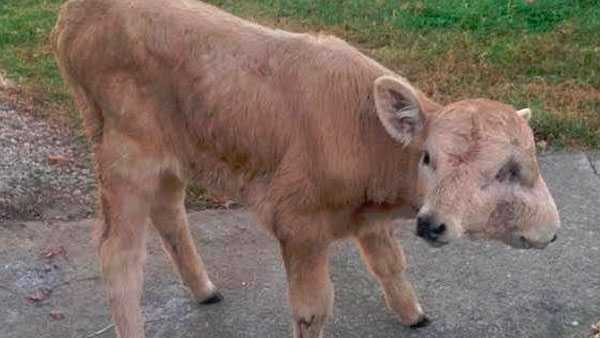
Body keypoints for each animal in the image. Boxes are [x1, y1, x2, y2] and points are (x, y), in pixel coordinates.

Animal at [52, 0, 564, 338]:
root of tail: (77, 12)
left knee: (169, 211)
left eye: (516, 167)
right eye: (428, 158)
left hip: (172, 150)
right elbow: (313, 308)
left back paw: (204, 289)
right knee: (118, 255)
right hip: (122, 152)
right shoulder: (298, 223)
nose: (432, 224)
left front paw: (412, 313)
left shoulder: (368, 220)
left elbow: (389, 263)